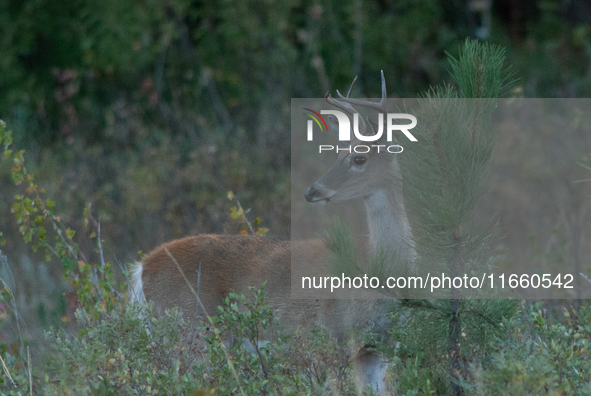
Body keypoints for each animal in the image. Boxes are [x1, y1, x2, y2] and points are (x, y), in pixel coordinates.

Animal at [130, 72, 416, 394]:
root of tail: (141, 268)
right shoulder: (334, 335)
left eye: (359, 159)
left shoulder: (378, 347)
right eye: (340, 154)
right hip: (191, 332)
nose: (311, 191)